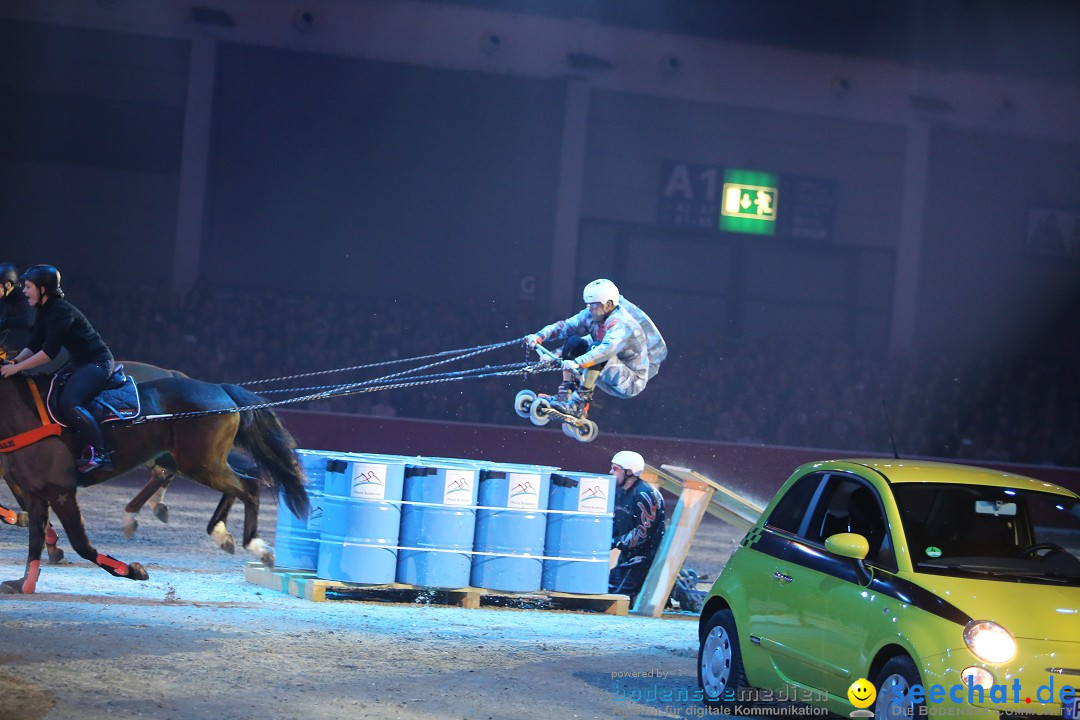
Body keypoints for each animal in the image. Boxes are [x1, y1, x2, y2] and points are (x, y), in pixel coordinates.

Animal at [1, 369, 313, 595]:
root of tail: (221, 389)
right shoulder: (34, 493)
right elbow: (35, 540)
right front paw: (23, 584)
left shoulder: (61, 491)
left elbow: (80, 544)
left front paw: (132, 571)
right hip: (191, 462)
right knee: (241, 479)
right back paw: (219, 532)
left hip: (201, 464)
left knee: (249, 484)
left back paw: (257, 546)